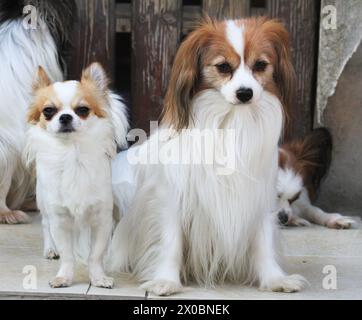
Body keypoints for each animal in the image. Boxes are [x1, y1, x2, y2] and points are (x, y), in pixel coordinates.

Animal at [24, 62, 129, 288]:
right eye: (48, 111)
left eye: (82, 110)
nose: (65, 116)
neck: (72, 154)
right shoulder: (60, 218)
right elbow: (67, 254)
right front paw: (64, 277)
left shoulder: (101, 218)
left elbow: (95, 255)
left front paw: (98, 278)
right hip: (43, 200)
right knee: (45, 224)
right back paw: (50, 249)